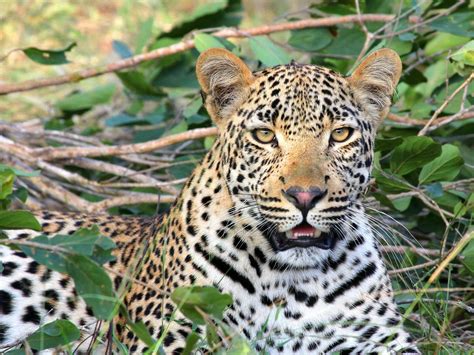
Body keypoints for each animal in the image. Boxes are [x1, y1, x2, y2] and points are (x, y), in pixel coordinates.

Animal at [0, 46, 418, 354]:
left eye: (342, 134)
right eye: (265, 136)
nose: (304, 196)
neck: (292, 285)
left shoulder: (380, 341)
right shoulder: (168, 338)